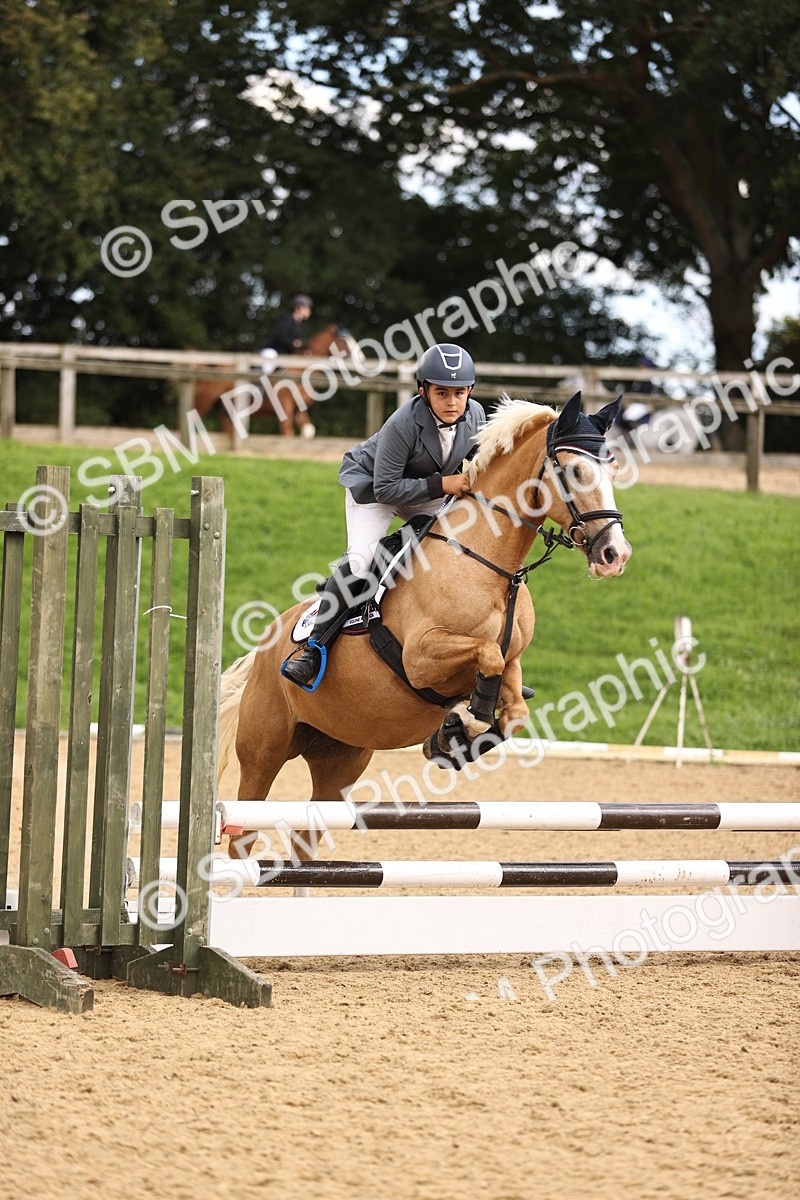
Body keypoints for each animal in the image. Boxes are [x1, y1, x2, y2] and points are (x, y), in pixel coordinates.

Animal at [192, 325, 353, 439]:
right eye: (344, 342)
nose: (358, 360)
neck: (300, 369)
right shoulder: (285, 407)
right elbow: (287, 433)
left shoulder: (298, 410)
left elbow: (308, 431)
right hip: (204, 403)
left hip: (226, 411)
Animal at [217, 391, 632, 858]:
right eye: (575, 470)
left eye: (613, 468)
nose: (615, 554)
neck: (490, 563)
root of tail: (266, 644)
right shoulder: (421, 658)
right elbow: (485, 655)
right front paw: (465, 722)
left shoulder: (512, 662)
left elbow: (514, 711)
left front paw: (453, 735)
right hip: (264, 750)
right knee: (244, 830)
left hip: (340, 755)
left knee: (308, 833)